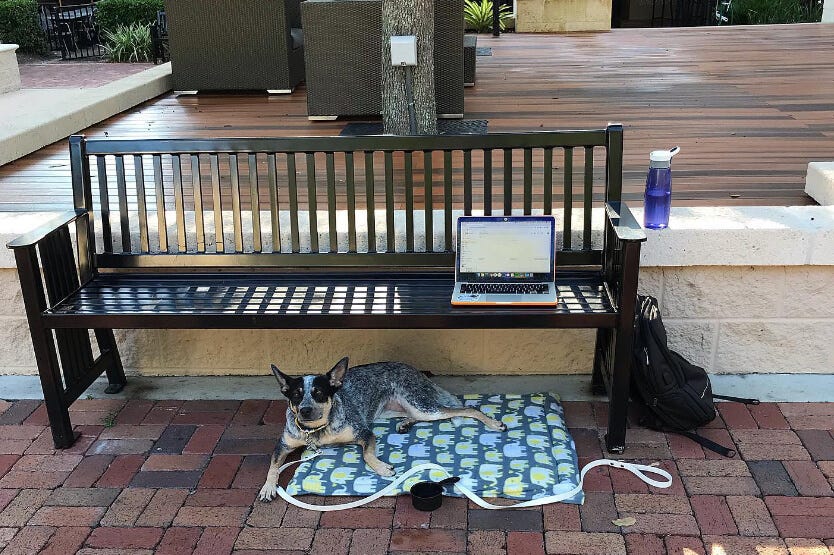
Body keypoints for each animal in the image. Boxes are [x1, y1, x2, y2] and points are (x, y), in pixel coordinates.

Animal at [256, 358, 504, 502]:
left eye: (319, 393)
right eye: (296, 396)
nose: (305, 411)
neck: (316, 431)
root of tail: (414, 369)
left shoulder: (364, 433)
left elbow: (366, 455)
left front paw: (382, 469)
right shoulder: (283, 445)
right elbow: (272, 466)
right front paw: (268, 487)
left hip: (421, 405)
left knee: (466, 409)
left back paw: (493, 423)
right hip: (391, 410)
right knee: (413, 416)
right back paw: (405, 424)